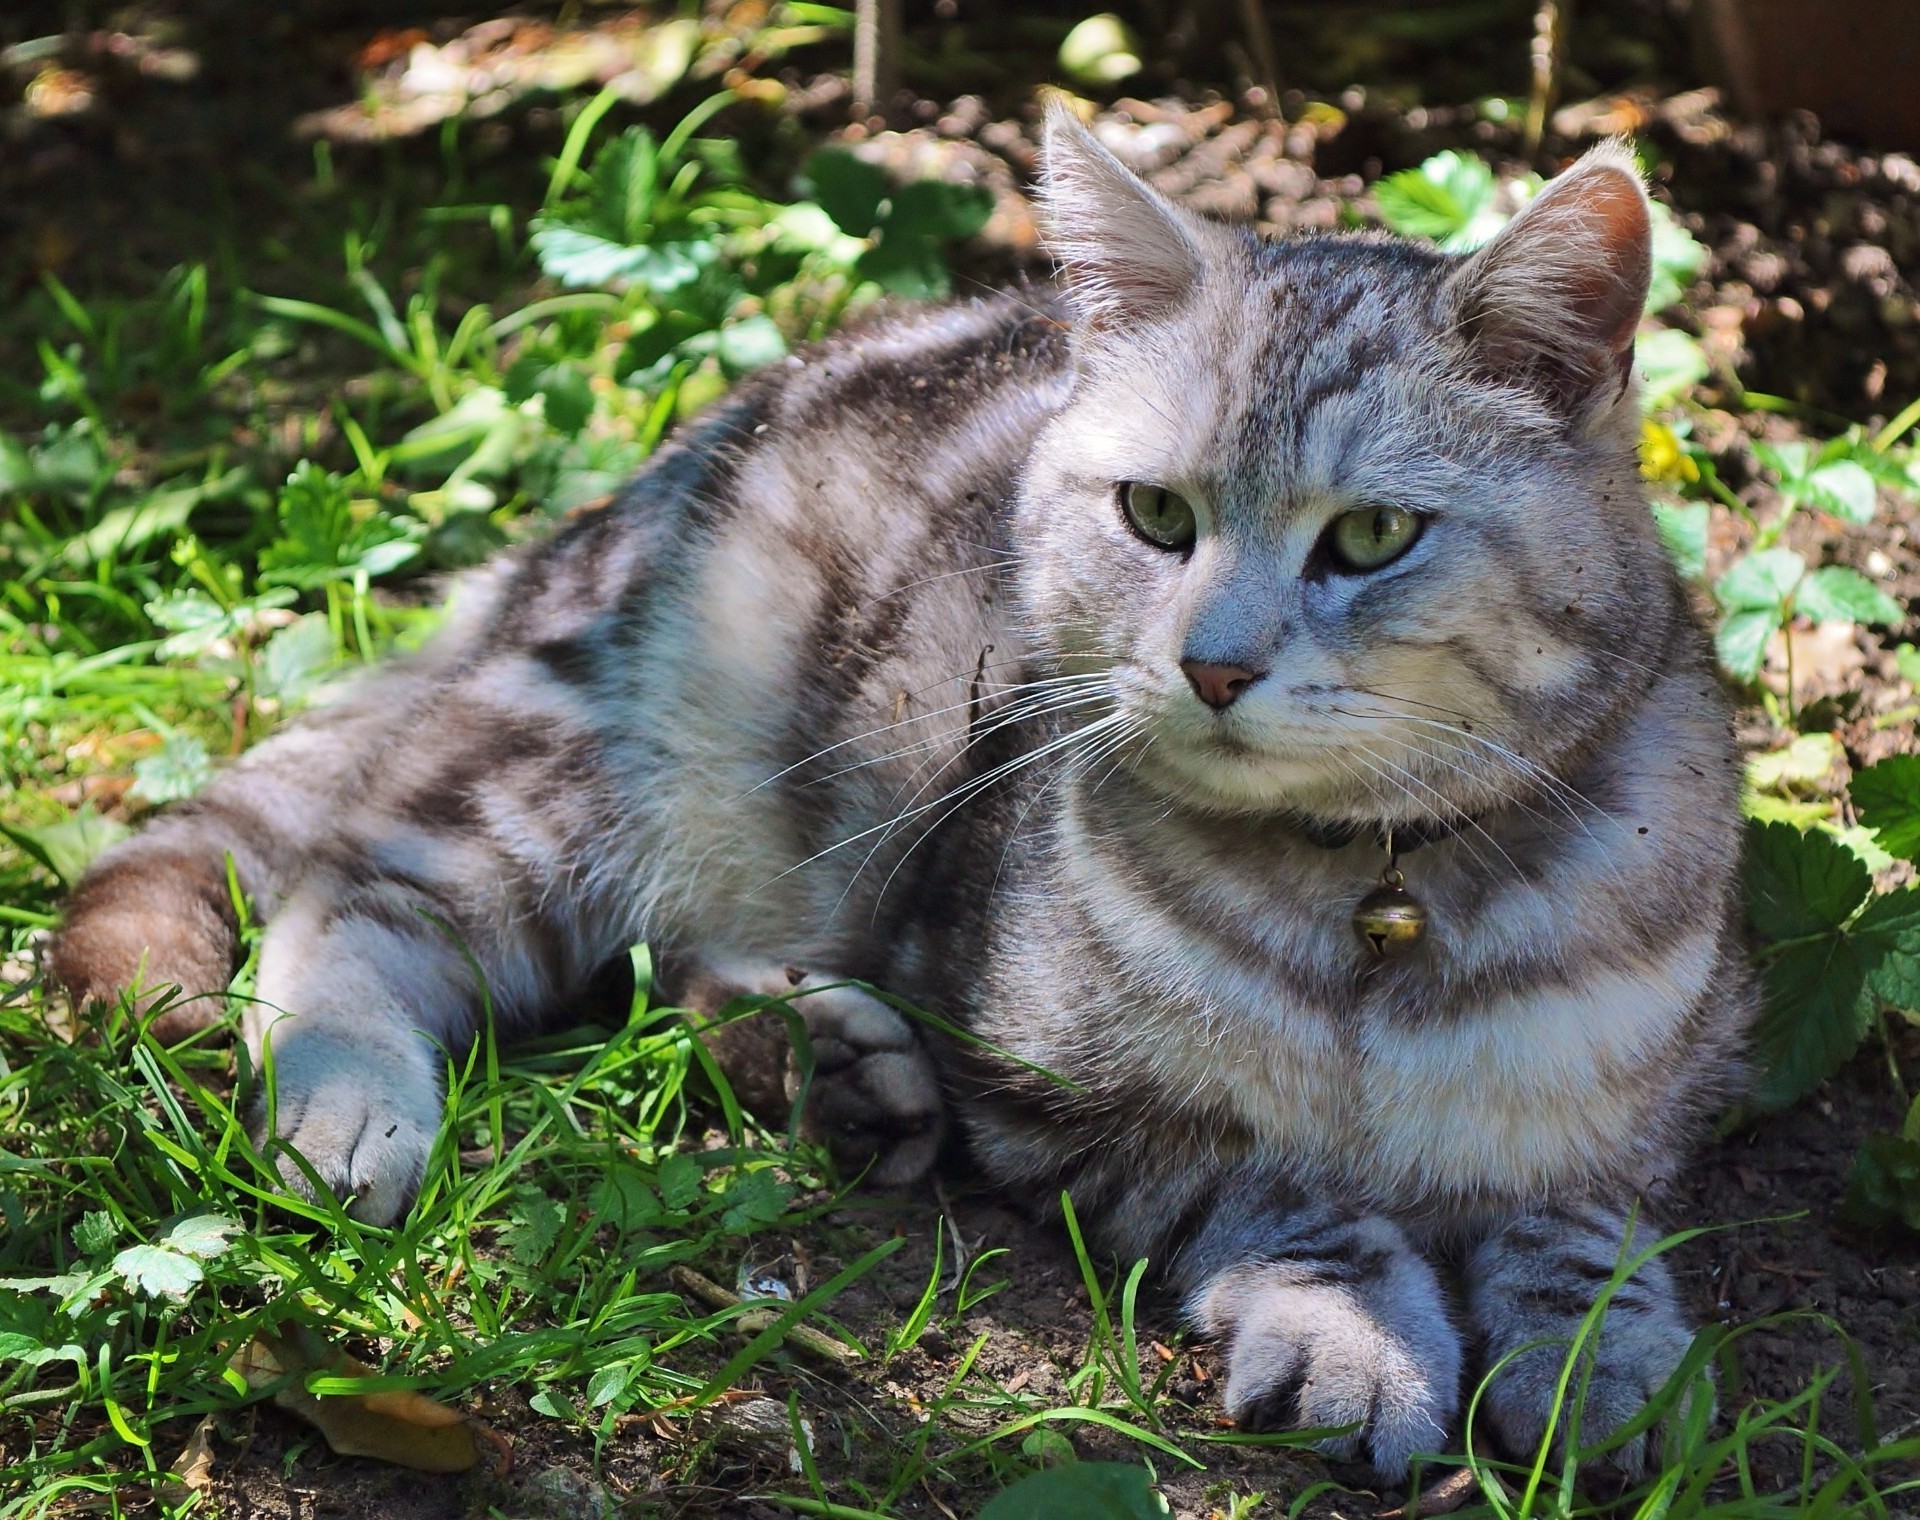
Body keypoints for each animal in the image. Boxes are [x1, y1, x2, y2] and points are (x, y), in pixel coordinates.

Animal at [48, 109, 1758, 1481]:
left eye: (1373, 537)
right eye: (1155, 514)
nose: (1210, 664)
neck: (1370, 905)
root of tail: (622, 494)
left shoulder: (1637, 1126)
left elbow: (1583, 1237)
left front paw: (1605, 1362)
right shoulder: (1060, 1095)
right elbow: (1292, 1201)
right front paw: (1365, 1341)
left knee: (673, 962)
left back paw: (831, 1066)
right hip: (608, 783)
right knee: (354, 890)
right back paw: (353, 1105)